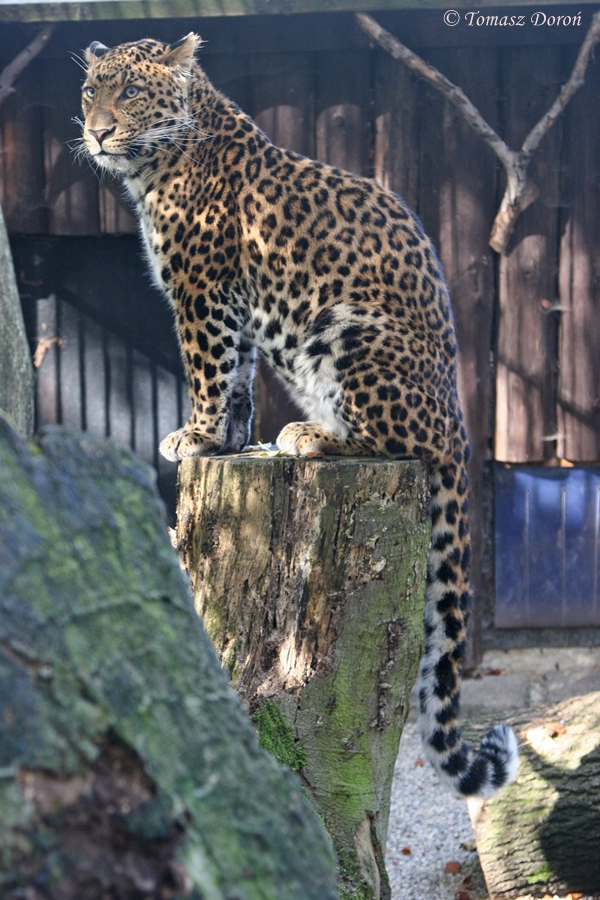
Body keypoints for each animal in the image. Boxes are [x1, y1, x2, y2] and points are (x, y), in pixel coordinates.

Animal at [79, 33, 518, 798]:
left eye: (129, 91)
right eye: (90, 90)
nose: (97, 131)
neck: (159, 162)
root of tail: (463, 427)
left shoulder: (202, 292)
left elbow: (209, 369)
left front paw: (194, 435)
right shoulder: (230, 305)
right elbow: (238, 379)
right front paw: (226, 439)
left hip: (351, 337)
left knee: (397, 442)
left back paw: (310, 436)